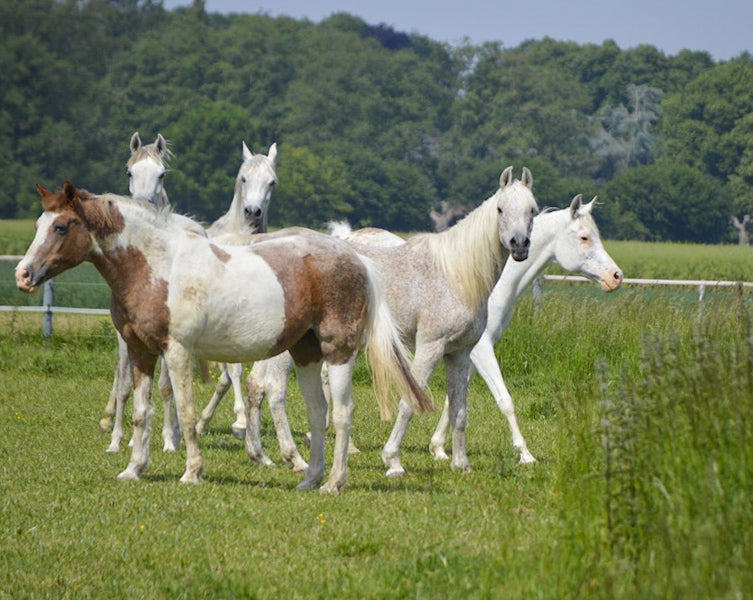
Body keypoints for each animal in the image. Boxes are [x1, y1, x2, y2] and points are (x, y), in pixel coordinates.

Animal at [16, 182, 428, 492]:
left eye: (61, 227)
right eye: (38, 223)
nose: (23, 275)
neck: (158, 267)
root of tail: (356, 259)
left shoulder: (177, 351)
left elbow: (186, 411)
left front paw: (192, 471)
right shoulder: (140, 352)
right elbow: (140, 413)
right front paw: (133, 469)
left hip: (338, 351)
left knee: (342, 413)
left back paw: (334, 483)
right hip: (306, 353)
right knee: (318, 411)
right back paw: (309, 479)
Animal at [244, 166, 536, 476]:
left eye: (532, 210)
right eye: (500, 209)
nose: (520, 245)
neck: (453, 274)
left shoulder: (459, 353)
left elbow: (459, 409)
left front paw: (461, 463)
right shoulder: (430, 347)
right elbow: (410, 402)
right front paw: (393, 459)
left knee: (258, 385)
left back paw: (262, 455)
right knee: (275, 389)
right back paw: (295, 459)